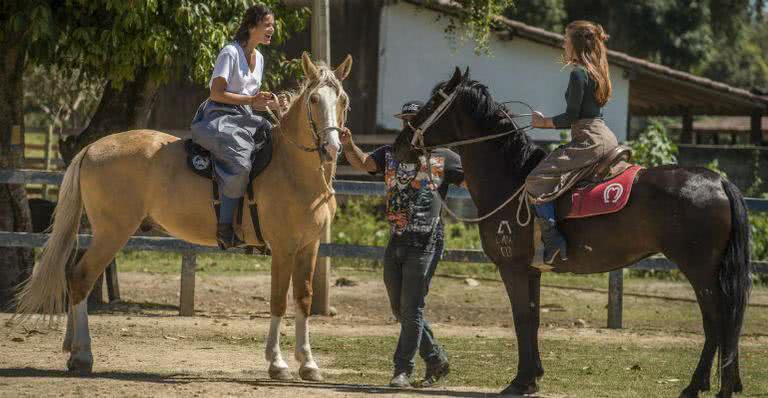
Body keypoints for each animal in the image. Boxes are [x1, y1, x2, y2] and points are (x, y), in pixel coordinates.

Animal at [17, 52, 354, 382]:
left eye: (343, 100)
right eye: (314, 99)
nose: (332, 148)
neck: (291, 168)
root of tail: (91, 148)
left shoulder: (309, 247)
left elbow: (304, 299)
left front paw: (308, 363)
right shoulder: (283, 248)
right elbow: (279, 300)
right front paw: (277, 363)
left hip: (101, 234)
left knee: (74, 276)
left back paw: (73, 351)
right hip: (111, 234)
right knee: (81, 278)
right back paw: (83, 356)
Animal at [392, 67, 752, 396]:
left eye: (433, 102)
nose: (400, 146)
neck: (513, 178)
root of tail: (718, 181)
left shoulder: (512, 268)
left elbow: (522, 319)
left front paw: (520, 381)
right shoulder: (531, 271)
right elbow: (533, 318)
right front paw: (533, 377)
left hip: (700, 271)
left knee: (717, 323)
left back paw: (700, 385)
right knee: (722, 324)